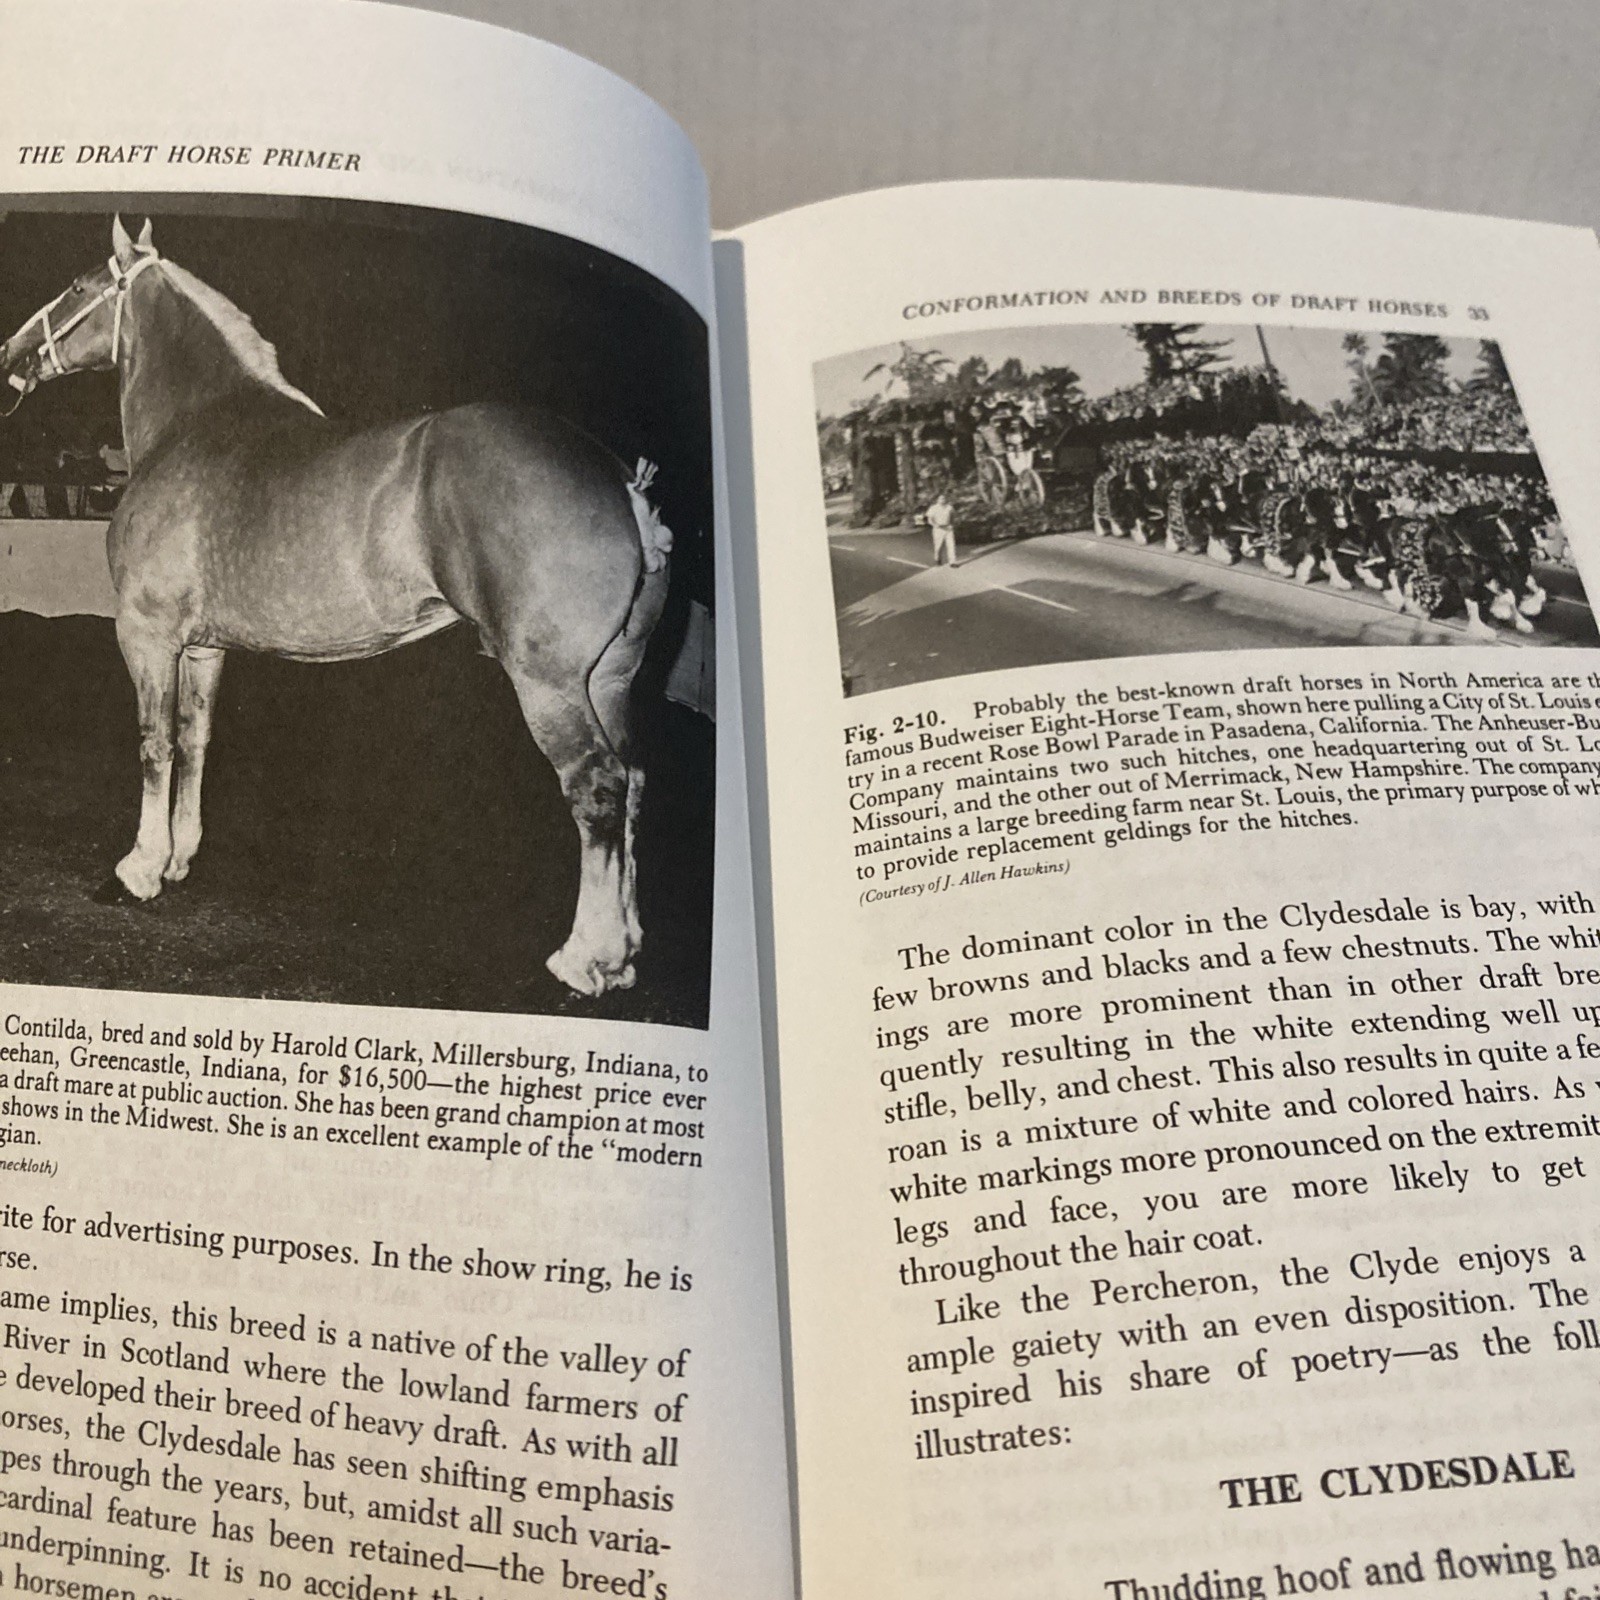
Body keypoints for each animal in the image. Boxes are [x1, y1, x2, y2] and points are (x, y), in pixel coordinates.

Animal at [0, 218, 672, 997]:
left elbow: (154, 744)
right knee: (633, 782)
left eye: (79, 286)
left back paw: (586, 958)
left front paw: (138, 869)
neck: (194, 426)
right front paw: (180, 856)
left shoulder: (147, 635)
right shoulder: (204, 647)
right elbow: (196, 741)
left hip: (551, 685)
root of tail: (621, 480)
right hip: (609, 680)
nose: (10, 353)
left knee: (596, 787)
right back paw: (626, 947)